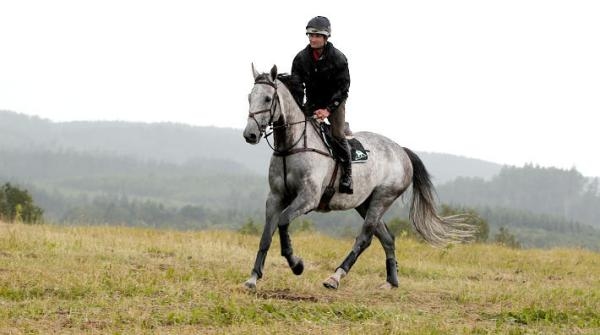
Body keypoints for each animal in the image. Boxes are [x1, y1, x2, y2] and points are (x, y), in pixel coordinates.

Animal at [241, 64, 476, 290]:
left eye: (268, 98)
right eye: (249, 97)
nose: (250, 135)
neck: (292, 146)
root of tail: (401, 151)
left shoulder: (308, 198)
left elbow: (283, 222)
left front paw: (296, 264)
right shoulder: (275, 197)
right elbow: (266, 236)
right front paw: (253, 278)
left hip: (382, 198)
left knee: (365, 238)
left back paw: (335, 277)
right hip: (365, 203)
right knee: (387, 238)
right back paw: (391, 281)